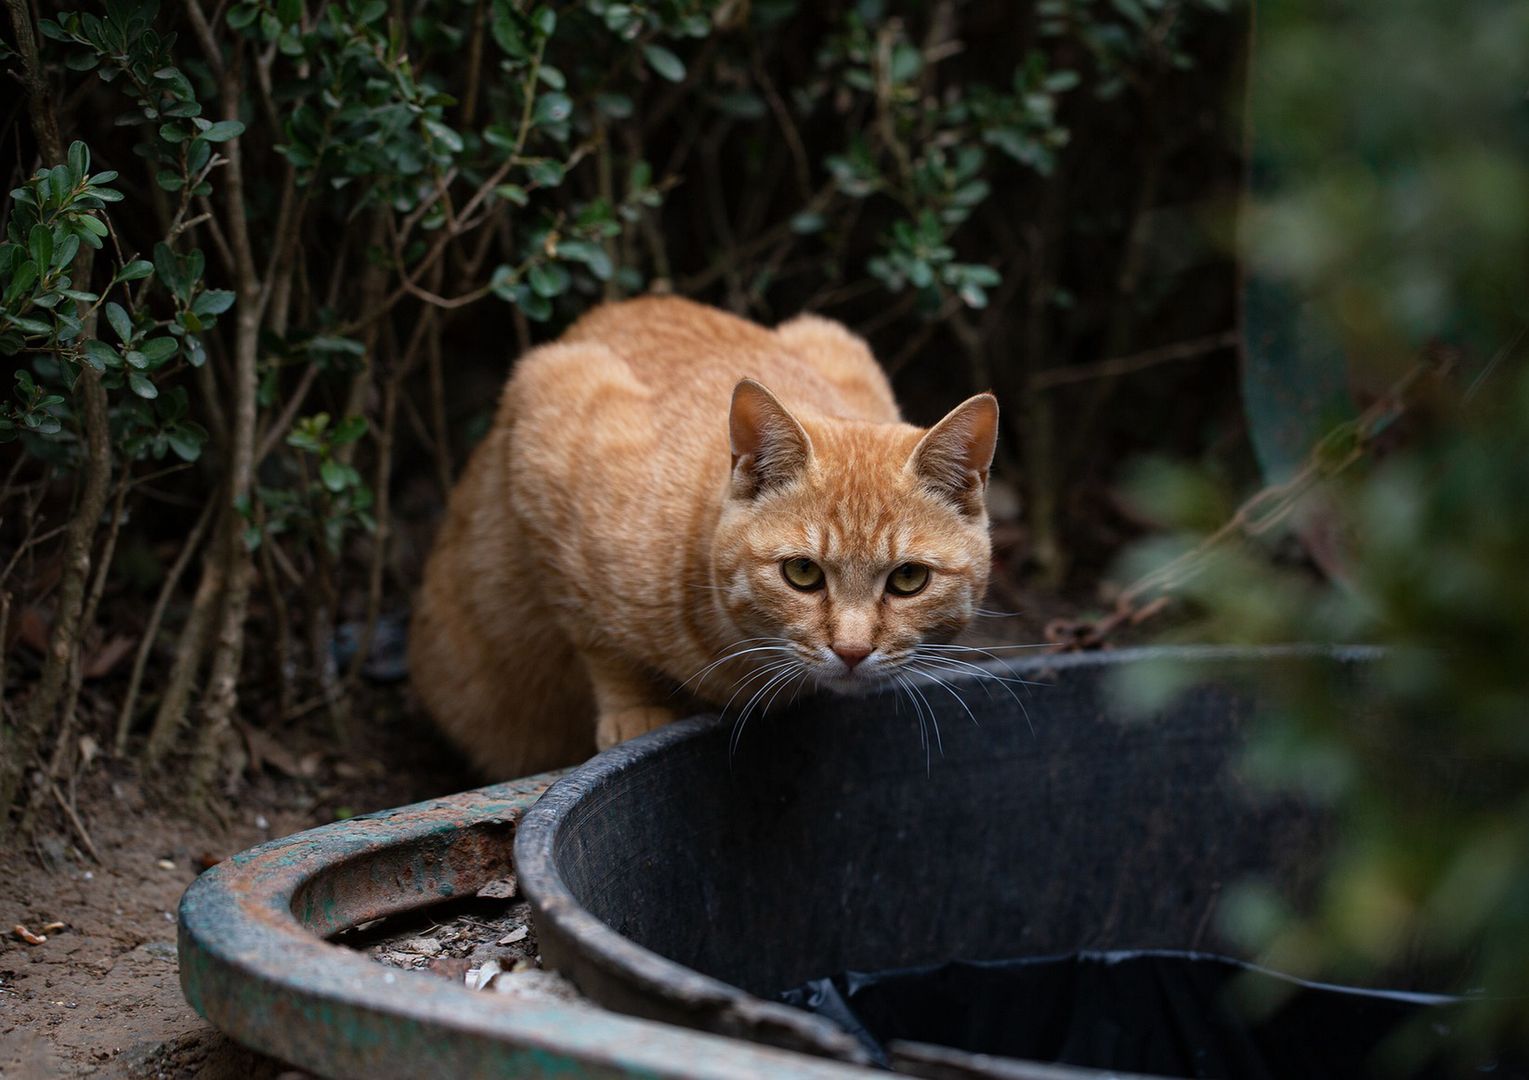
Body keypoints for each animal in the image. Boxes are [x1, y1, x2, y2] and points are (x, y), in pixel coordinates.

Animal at [412, 296, 996, 774]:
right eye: (802, 572)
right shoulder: (549, 417)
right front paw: (636, 712)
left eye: (908, 579)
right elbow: (599, 641)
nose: (852, 652)